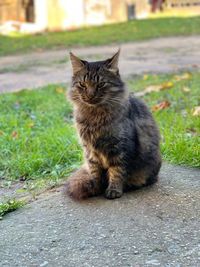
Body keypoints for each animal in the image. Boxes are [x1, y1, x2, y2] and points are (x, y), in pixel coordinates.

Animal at [65, 50, 162, 200]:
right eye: (82, 85)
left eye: (101, 84)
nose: (90, 95)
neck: (95, 116)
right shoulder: (90, 151)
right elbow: (95, 173)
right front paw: (96, 188)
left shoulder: (120, 148)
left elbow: (117, 171)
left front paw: (114, 190)